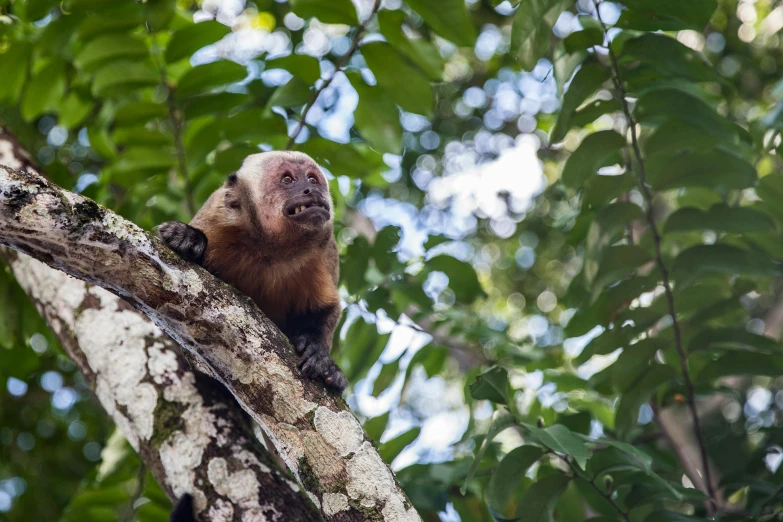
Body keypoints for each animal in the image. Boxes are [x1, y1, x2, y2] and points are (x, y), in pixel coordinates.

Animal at [159, 150, 346, 520]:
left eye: (312, 178)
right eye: (288, 180)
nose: (310, 189)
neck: (273, 248)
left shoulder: (324, 250)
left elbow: (326, 311)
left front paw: (321, 358)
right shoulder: (219, 215)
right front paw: (189, 240)